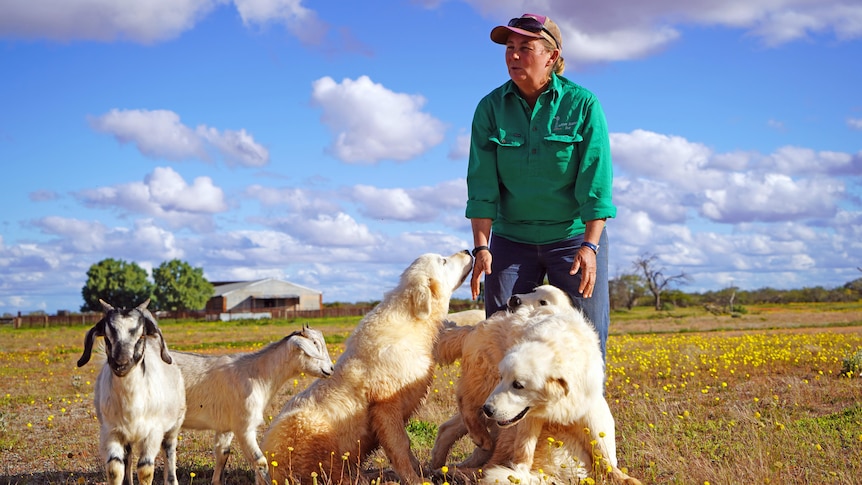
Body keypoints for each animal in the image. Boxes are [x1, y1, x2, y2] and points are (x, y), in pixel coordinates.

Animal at [78, 298, 187, 484]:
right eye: (106, 336)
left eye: (141, 335)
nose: (121, 362)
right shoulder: (111, 430)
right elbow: (115, 468)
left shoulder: (153, 431)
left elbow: (145, 469)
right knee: (127, 457)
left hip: (174, 424)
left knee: (169, 450)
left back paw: (171, 479)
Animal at [171, 324, 334, 484]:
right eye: (315, 344)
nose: (331, 369)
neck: (256, 375)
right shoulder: (244, 426)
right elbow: (261, 462)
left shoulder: (226, 426)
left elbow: (223, 453)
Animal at [262, 250, 472, 484]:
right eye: (443, 261)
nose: (468, 251)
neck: (413, 322)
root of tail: (267, 471)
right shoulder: (385, 405)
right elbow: (400, 444)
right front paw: (415, 479)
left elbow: (404, 445)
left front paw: (420, 470)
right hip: (312, 430)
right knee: (331, 473)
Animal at [482, 306, 644, 484]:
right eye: (501, 378)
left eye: (518, 385)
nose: (486, 409)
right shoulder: (531, 416)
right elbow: (524, 447)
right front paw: (518, 472)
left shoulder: (589, 409)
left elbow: (601, 449)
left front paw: (620, 477)